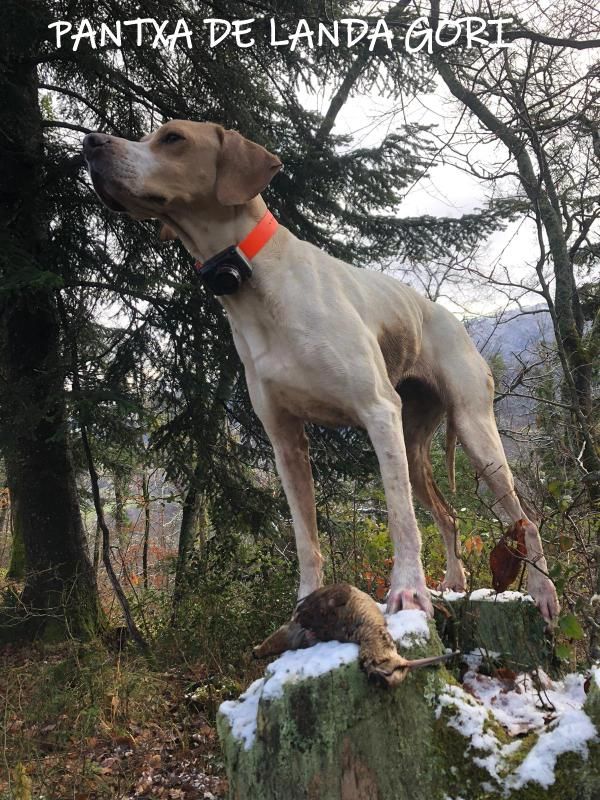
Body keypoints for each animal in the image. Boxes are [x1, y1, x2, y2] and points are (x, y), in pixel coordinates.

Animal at [82, 119, 560, 620]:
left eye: (173, 138)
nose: (90, 143)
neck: (254, 280)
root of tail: (452, 318)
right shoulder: (285, 442)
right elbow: (305, 538)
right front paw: (305, 604)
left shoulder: (377, 412)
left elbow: (401, 519)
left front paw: (407, 592)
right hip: (413, 447)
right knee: (448, 516)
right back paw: (452, 584)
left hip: (474, 431)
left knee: (525, 519)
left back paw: (543, 593)